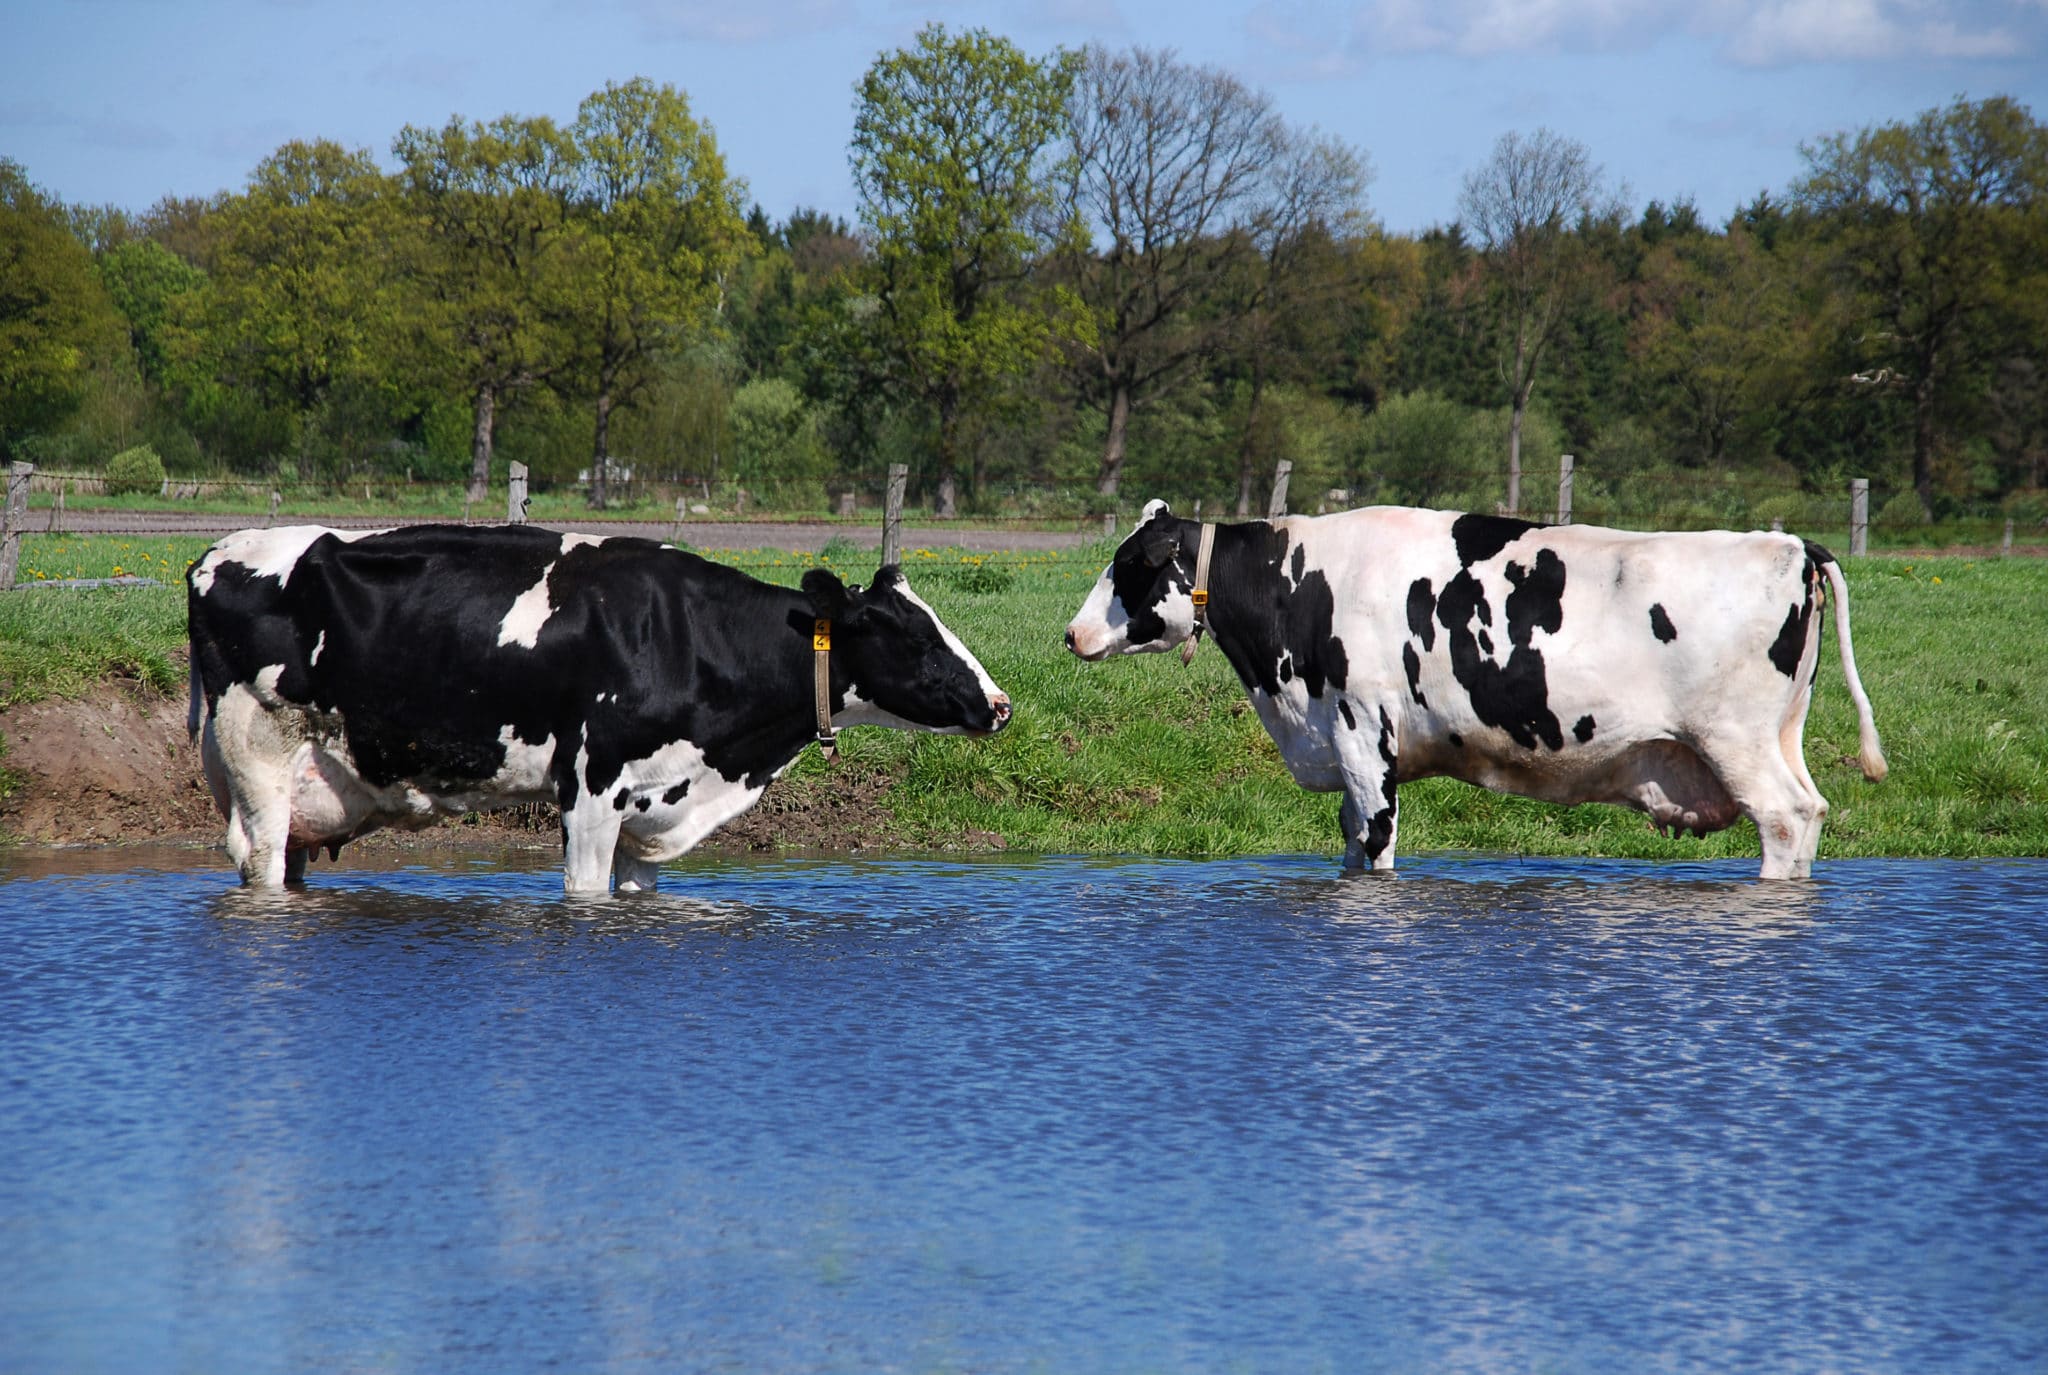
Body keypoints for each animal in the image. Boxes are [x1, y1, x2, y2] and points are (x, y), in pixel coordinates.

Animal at [188, 524, 1010, 892]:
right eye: (913, 635)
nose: (1000, 704)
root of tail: (214, 553)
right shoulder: (590, 787)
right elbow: (584, 893)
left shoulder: (657, 798)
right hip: (257, 755)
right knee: (261, 860)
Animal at [1065, 501, 1886, 879]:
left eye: (1129, 566)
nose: (1071, 633)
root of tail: (1789, 543)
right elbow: (1348, 843)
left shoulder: (1363, 738)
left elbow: (1376, 843)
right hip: (1780, 733)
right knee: (1811, 811)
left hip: (1735, 738)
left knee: (1783, 818)